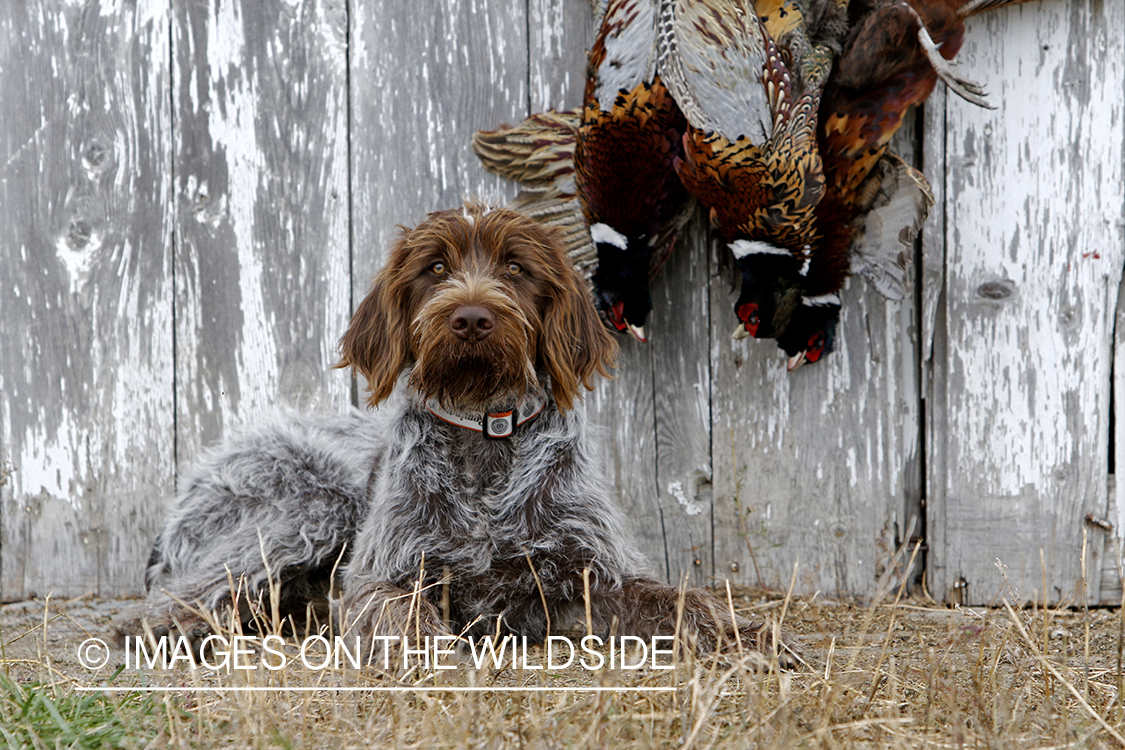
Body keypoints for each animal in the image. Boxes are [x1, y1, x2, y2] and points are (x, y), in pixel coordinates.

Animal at [116, 203, 792, 661]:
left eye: (516, 268)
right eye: (435, 267)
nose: (471, 318)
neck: (486, 434)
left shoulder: (598, 571)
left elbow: (680, 601)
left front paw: (746, 634)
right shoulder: (378, 578)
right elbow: (400, 613)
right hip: (314, 501)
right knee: (170, 602)